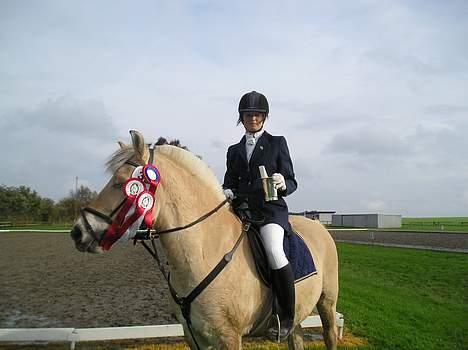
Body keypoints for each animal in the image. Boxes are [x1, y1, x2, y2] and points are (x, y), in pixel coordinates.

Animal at [69, 131, 338, 350]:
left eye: (121, 183)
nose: (78, 232)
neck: (202, 250)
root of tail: (318, 225)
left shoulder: (229, 337)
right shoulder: (194, 336)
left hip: (327, 302)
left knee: (330, 334)